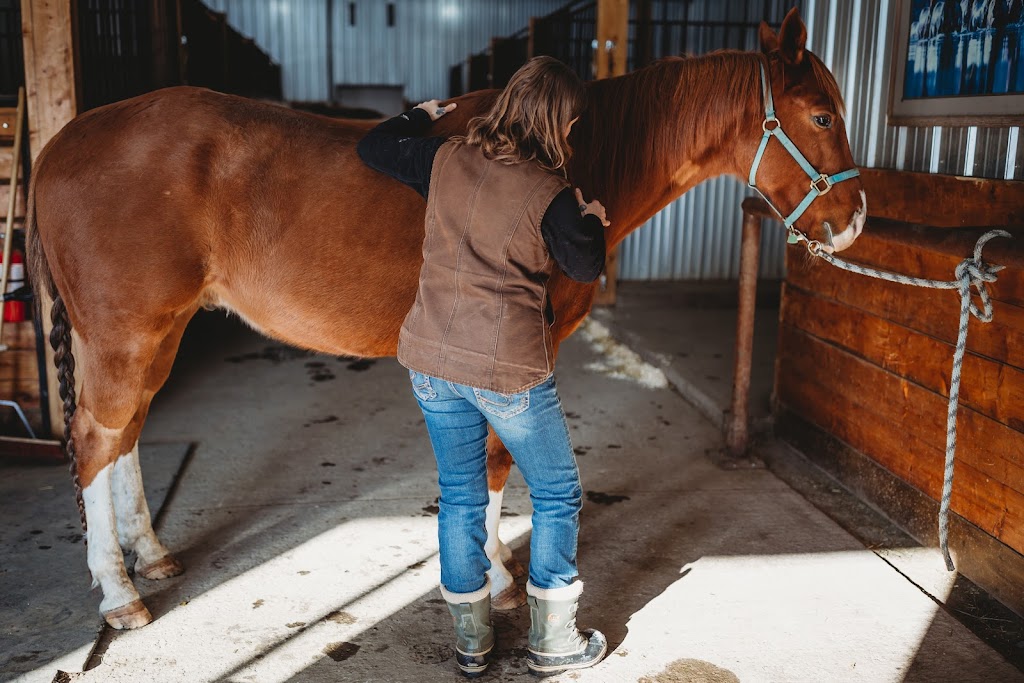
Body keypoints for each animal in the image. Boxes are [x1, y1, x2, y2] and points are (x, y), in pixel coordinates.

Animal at [25, 10, 864, 630]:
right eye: (822, 114)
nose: (854, 221)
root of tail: (62, 143)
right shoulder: (519, 350)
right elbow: (494, 462)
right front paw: (497, 578)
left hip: (152, 333)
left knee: (126, 434)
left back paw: (151, 554)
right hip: (128, 334)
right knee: (97, 439)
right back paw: (120, 595)